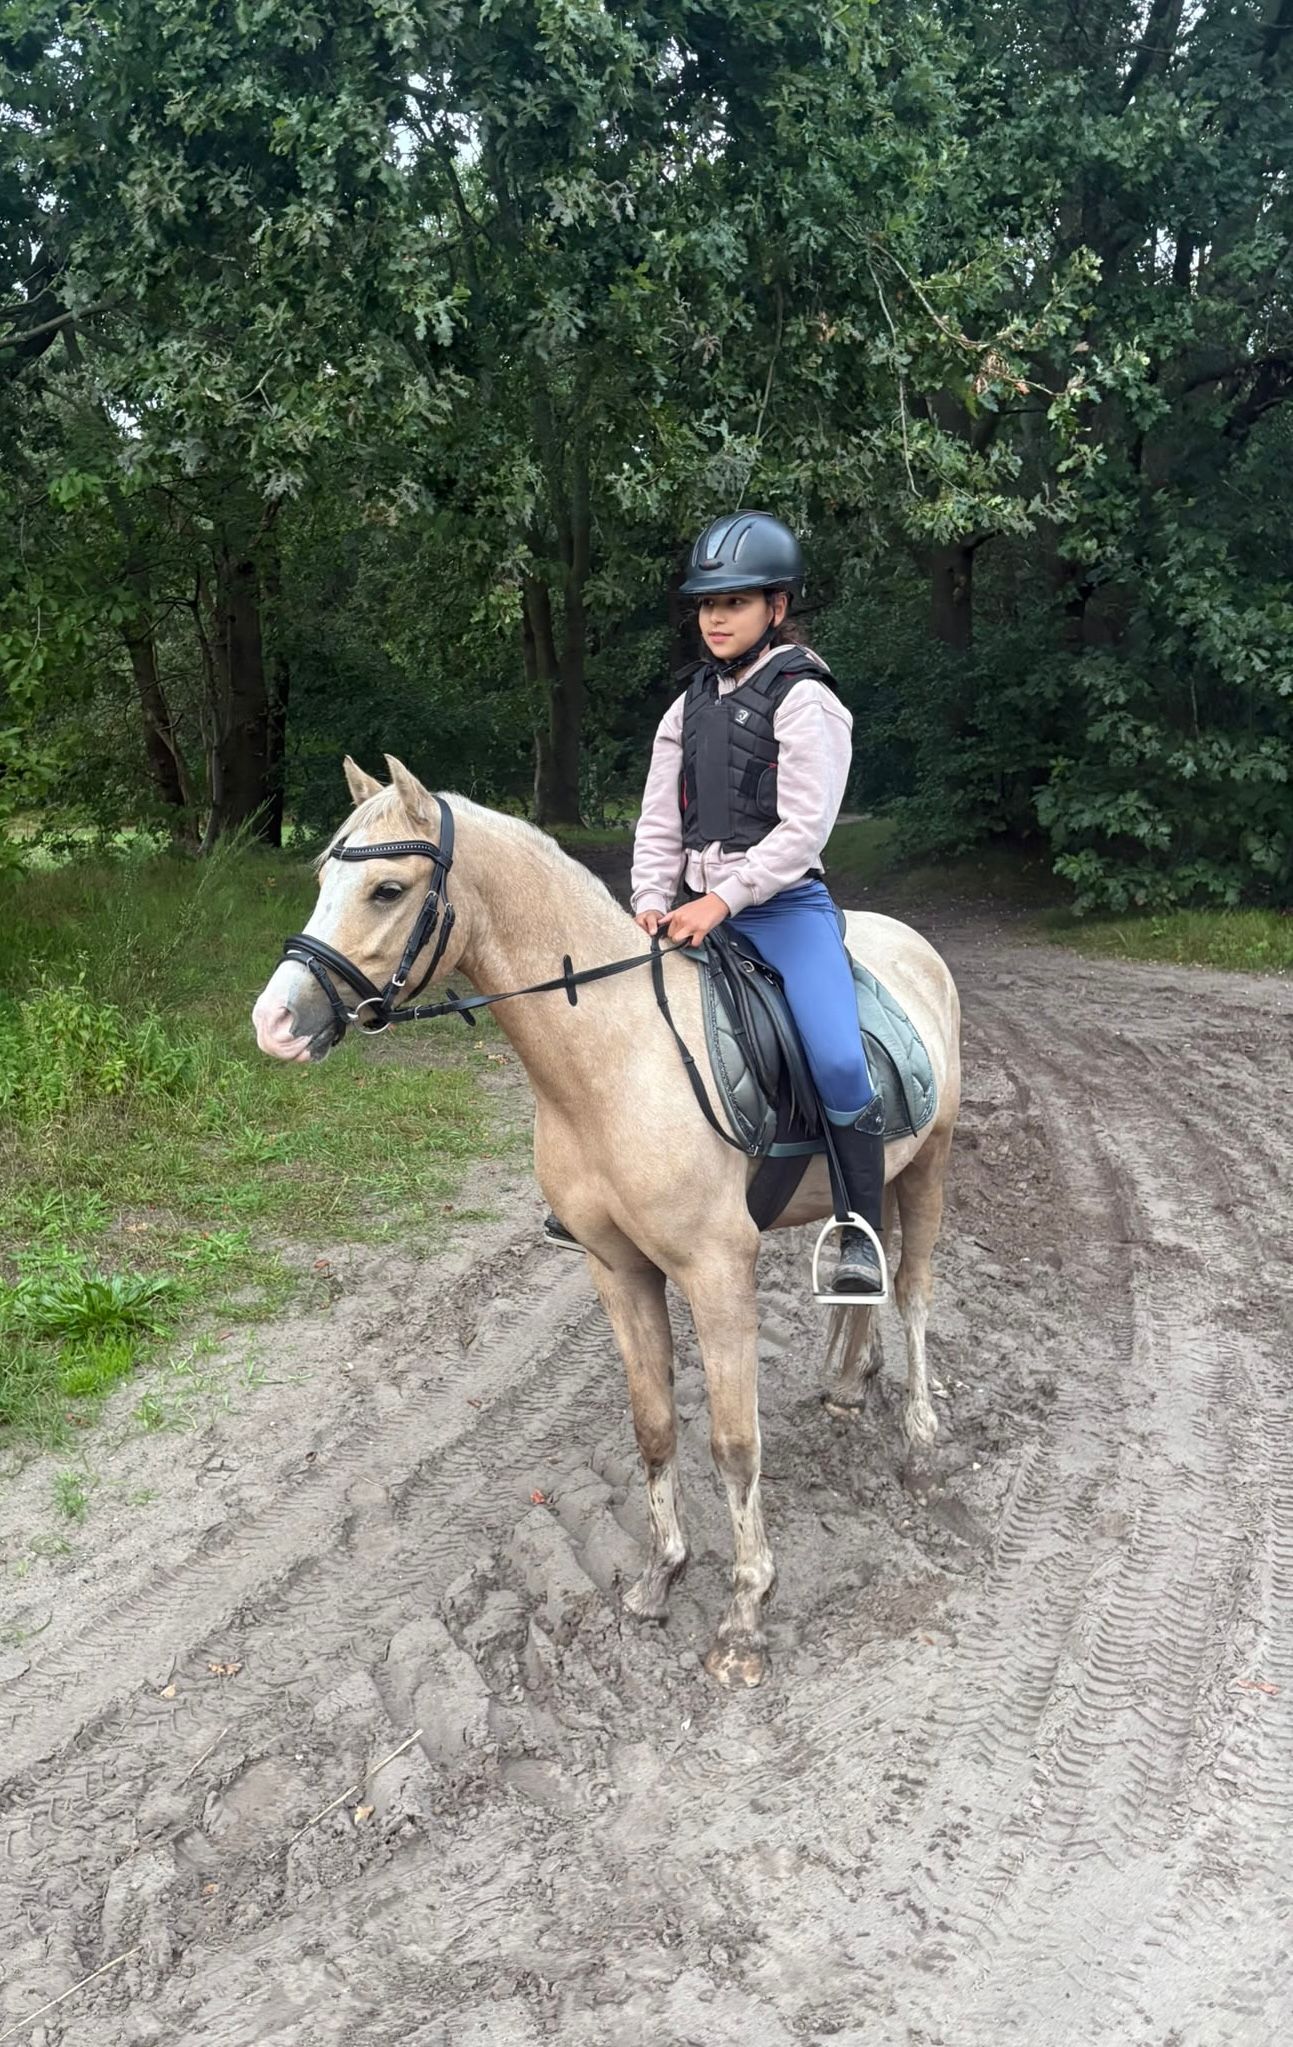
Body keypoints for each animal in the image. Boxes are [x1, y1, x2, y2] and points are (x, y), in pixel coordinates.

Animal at [252, 756, 962, 1688]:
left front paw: (743, 1617)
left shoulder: (715, 1271)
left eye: (387, 888)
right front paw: (660, 1577)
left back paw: (918, 1440)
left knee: (912, 1293)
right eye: (320, 881)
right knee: (862, 1275)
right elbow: (653, 1423)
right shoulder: (616, 1269)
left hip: (929, 1165)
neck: (617, 1057)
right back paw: (848, 1383)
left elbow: (734, 1443)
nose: (274, 1023)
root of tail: (913, 946)